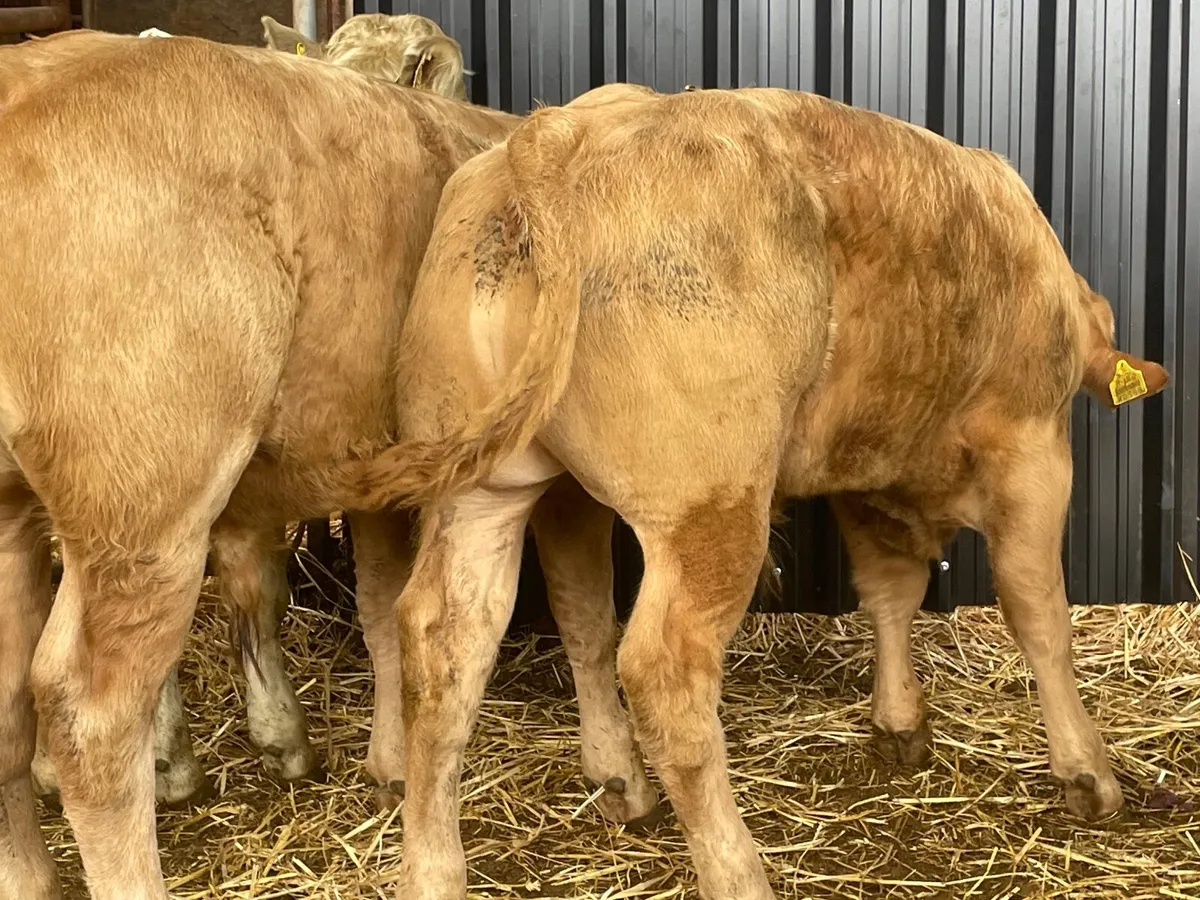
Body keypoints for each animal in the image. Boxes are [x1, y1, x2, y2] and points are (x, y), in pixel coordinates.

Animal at [0, 34, 656, 900]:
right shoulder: (563, 485)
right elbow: (586, 616)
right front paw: (619, 773)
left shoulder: (368, 467)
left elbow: (379, 608)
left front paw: (384, 762)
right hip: (143, 494)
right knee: (90, 719)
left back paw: (29, 874)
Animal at [337, 82, 1170, 899]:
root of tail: (557, 135)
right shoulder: (1033, 446)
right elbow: (1038, 610)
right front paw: (1087, 771)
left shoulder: (861, 471)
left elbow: (891, 591)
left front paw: (899, 721)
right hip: (712, 507)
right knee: (665, 671)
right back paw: (739, 874)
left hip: (481, 493)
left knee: (444, 642)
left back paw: (434, 871)